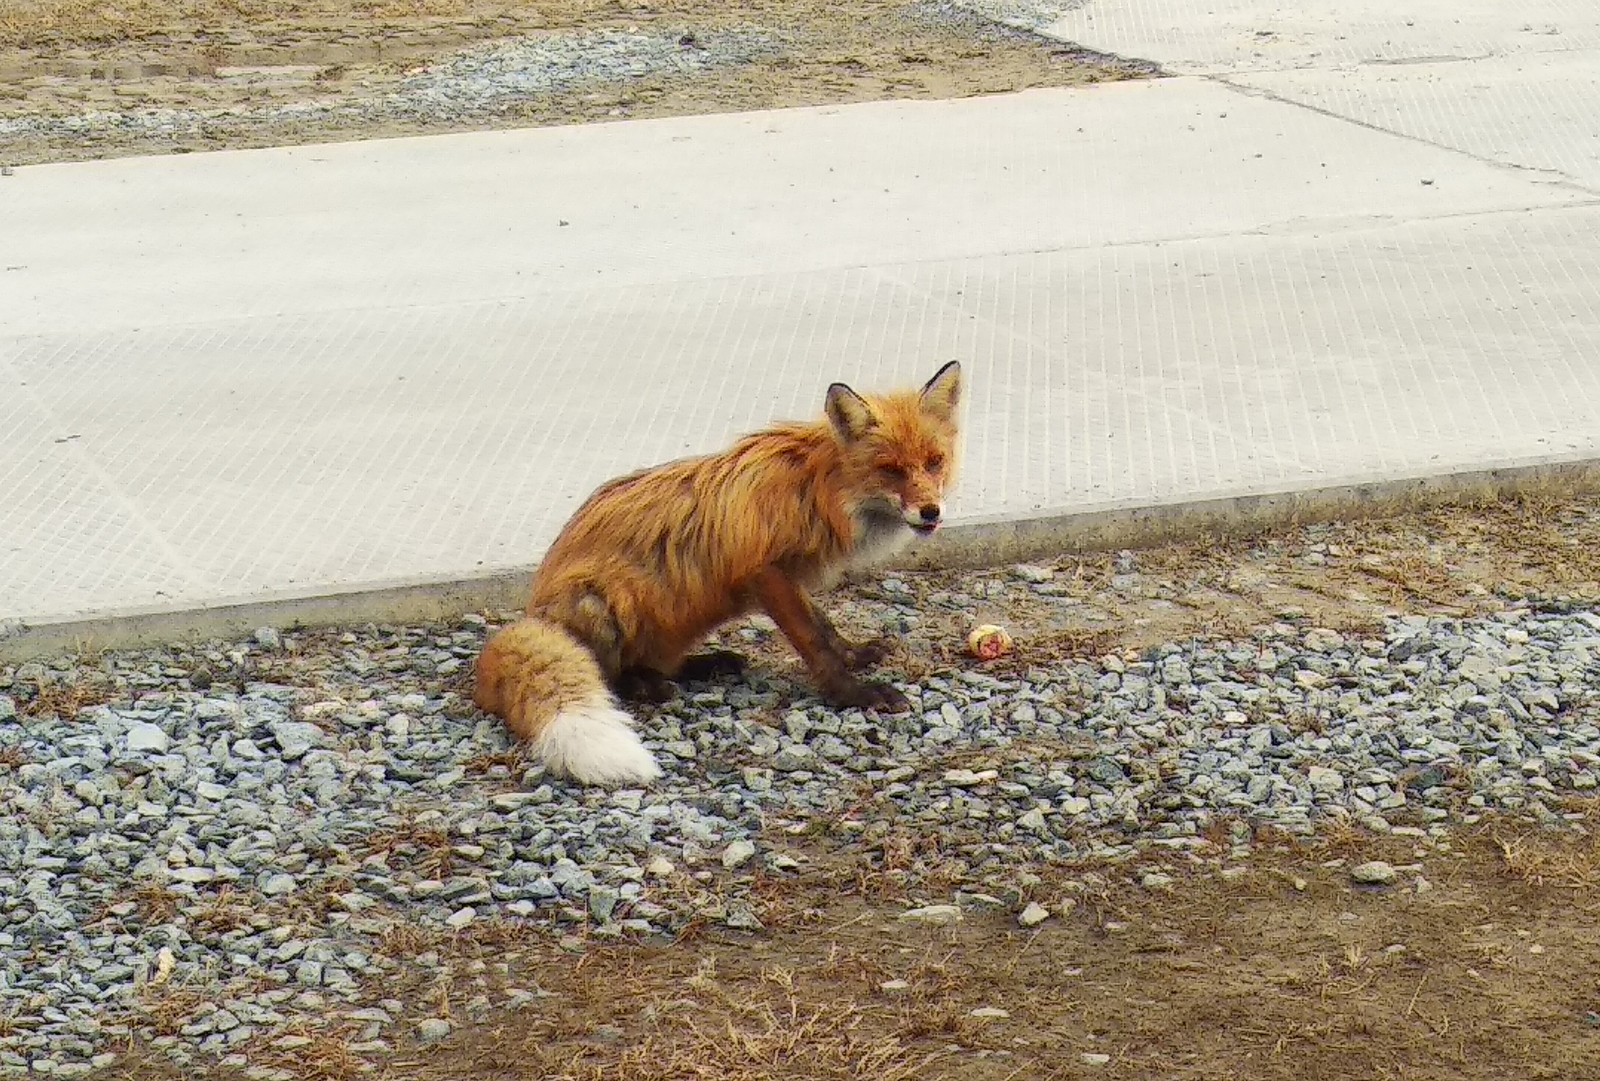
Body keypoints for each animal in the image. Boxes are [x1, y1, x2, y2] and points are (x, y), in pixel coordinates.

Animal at [467, 362, 953, 786]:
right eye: (890, 470)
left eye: (934, 462)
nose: (931, 511)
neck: (815, 489)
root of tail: (533, 613)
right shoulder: (765, 572)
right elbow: (814, 642)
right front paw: (852, 693)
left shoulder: (790, 577)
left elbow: (825, 626)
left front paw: (855, 654)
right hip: (600, 603)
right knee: (610, 672)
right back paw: (645, 686)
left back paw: (706, 664)